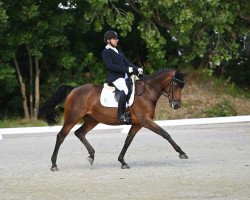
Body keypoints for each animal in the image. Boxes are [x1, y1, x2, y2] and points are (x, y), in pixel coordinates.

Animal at [38, 68, 188, 170]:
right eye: (175, 85)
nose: (176, 105)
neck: (147, 93)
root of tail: (74, 89)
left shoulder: (138, 124)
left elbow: (128, 141)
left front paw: (122, 161)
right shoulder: (145, 121)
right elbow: (165, 133)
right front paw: (182, 153)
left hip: (93, 120)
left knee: (79, 133)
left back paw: (91, 155)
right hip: (72, 119)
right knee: (61, 136)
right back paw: (54, 164)